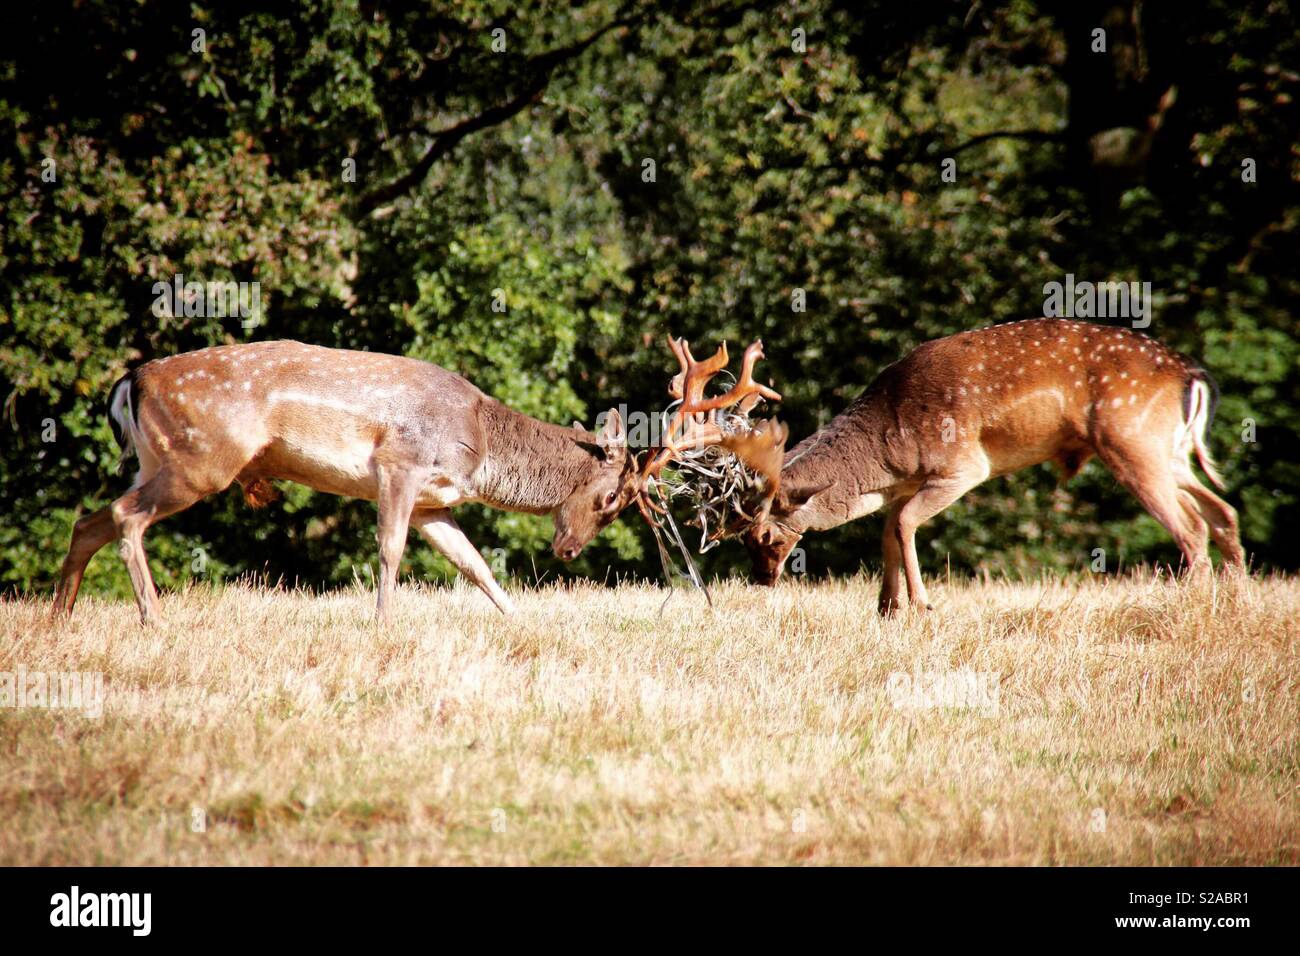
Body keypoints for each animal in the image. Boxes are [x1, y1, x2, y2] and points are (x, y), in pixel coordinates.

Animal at [55, 340, 644, 624]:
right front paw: (383, 622)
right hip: (202, 458)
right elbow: (390, 548)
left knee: (90, 519)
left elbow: (472, 562)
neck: (478, 445)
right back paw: (154, 618)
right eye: (612, 497)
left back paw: (60, 617)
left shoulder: (433, 502)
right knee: (125, 516)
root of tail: (132, 380)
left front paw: (522, 619)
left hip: (154, 459)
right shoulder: (400, 462)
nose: (568, 550)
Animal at [738, 317, 1242, 608]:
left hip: (1133, 441)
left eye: (762, 535)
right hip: (1168, 451)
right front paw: (886, 608)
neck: (885, 456)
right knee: (1222, 511)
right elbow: (887, 530)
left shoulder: (960, 466)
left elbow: (902, 523)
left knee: (1192, 526)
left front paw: (921, 605)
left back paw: (1191, 606)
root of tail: (1192, 375)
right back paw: (1233, 601)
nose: (760, 581)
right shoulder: (906, 484)